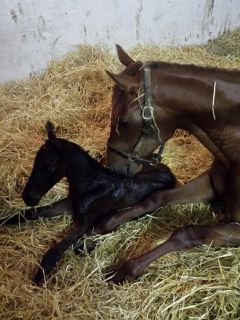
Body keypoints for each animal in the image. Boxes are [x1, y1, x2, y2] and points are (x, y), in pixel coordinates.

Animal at [2, 121, 175, 284]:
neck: (91, 185)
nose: (28, 197)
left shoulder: (85, 223)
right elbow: (27, 214)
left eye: (48, 167)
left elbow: (54, 252)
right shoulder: (66, 205)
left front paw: (37, 280)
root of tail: (169, 172)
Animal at [94, 45, 240, 282]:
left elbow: (188, 233)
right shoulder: (210, 182)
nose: (113, 167)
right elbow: (157, 198)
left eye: (123, 121)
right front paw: (104, 224)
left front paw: (126, 269)